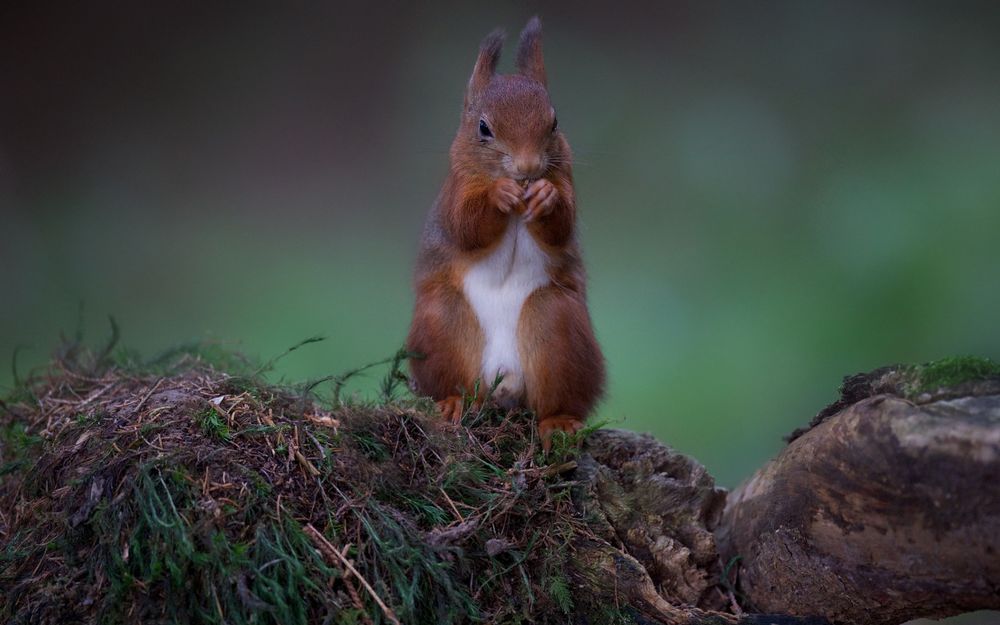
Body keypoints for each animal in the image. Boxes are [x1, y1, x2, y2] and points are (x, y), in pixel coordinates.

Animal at [406, 16, 605, 450]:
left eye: (554, 122)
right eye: (483, 127)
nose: (528, 168)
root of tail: (504, 382)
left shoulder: (567, 181)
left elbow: (561, 228)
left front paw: (545, 197)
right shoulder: (456, 191)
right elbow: (466, 227)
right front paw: (500, 194)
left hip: (557, 328)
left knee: (556, 397)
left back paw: (559, 422)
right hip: (442, 324)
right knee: (453, 381)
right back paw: (451, 403)